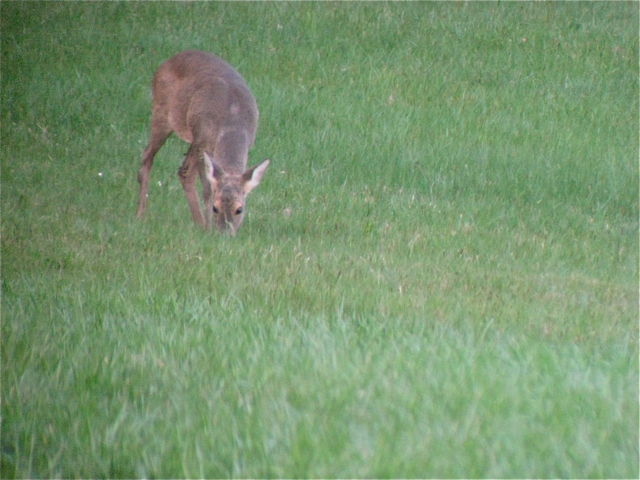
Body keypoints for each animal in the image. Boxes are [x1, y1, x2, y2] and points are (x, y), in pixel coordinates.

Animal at [137, 49, 270, 235]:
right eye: (215, 208)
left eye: (239, 209)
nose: (224, 234)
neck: (233, 121)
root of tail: (168, 61)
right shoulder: (203, 141)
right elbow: (207, 189)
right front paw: (209, 229)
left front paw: (206, 226)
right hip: (162, 113)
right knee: (147, 155)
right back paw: (140, 215)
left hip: (191, 136)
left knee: (183, 171)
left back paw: (198, 222)